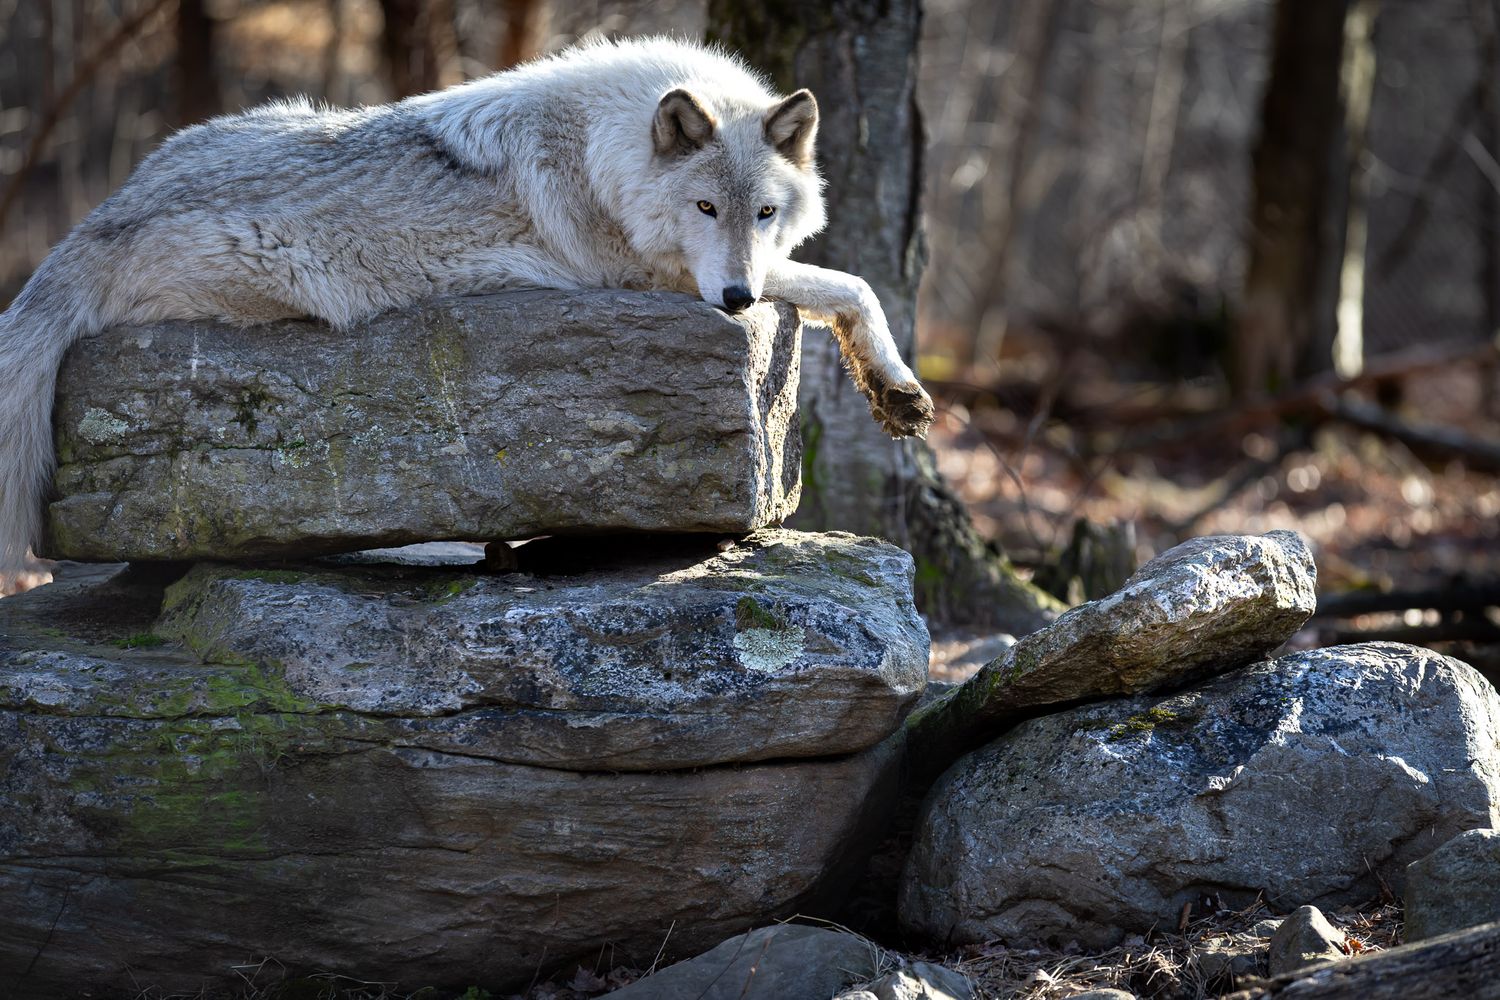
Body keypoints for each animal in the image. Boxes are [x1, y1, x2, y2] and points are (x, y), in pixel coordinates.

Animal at [0, 36, 934, 589]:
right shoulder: (656, 279)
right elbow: (848, 284)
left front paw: (894, 389)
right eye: (705, 209)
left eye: (765, 213)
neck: (604, 151)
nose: (737, 299)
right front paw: (891, 382)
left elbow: (843, 285)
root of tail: (100, 216)